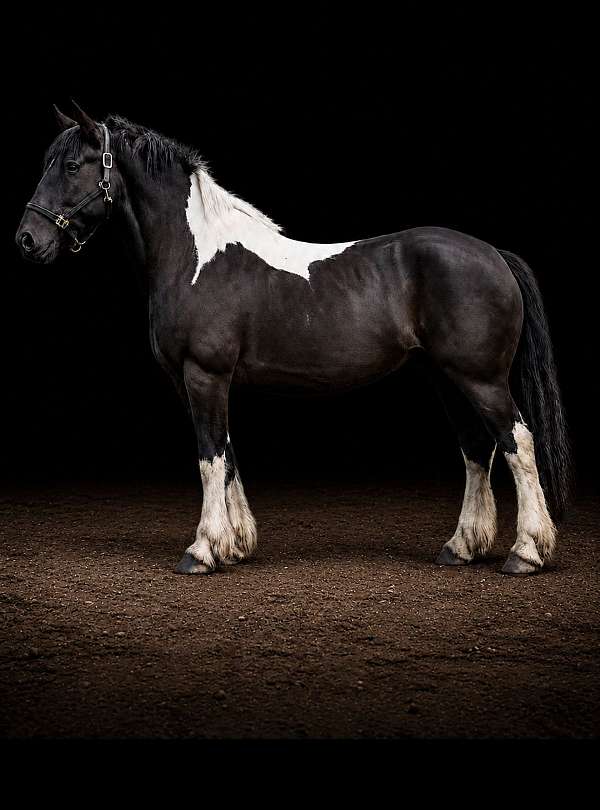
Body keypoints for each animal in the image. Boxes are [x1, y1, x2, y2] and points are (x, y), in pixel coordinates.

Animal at [15, 102, 571, 577]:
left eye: (71, 165)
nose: (27, 240)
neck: (195, 257)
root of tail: (494, 254)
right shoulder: (204, 381)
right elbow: (227, 455)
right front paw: (235, 545)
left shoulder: (204, 374)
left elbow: (209, 456)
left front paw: (202, 549)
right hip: (445, 376)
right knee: (477, 447)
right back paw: (461, 547)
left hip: (481, 378)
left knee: (517, 442)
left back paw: (525, 552)